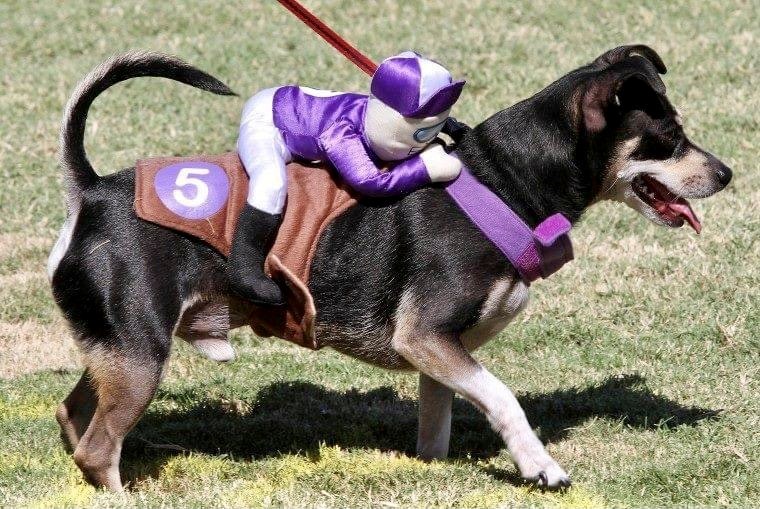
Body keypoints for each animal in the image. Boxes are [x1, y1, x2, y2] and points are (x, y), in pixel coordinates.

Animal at [47, 45, 732, 490]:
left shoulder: (442, 352)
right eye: (668, 138)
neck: (502, 181)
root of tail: (93, 193)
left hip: (119, 354)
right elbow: (504, 397)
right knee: (97, 450)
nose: (726, 173)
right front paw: (540, 466)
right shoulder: (426, 337)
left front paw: (433, 467)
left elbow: (439, 419)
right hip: (140, 358)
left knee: (75, 418)